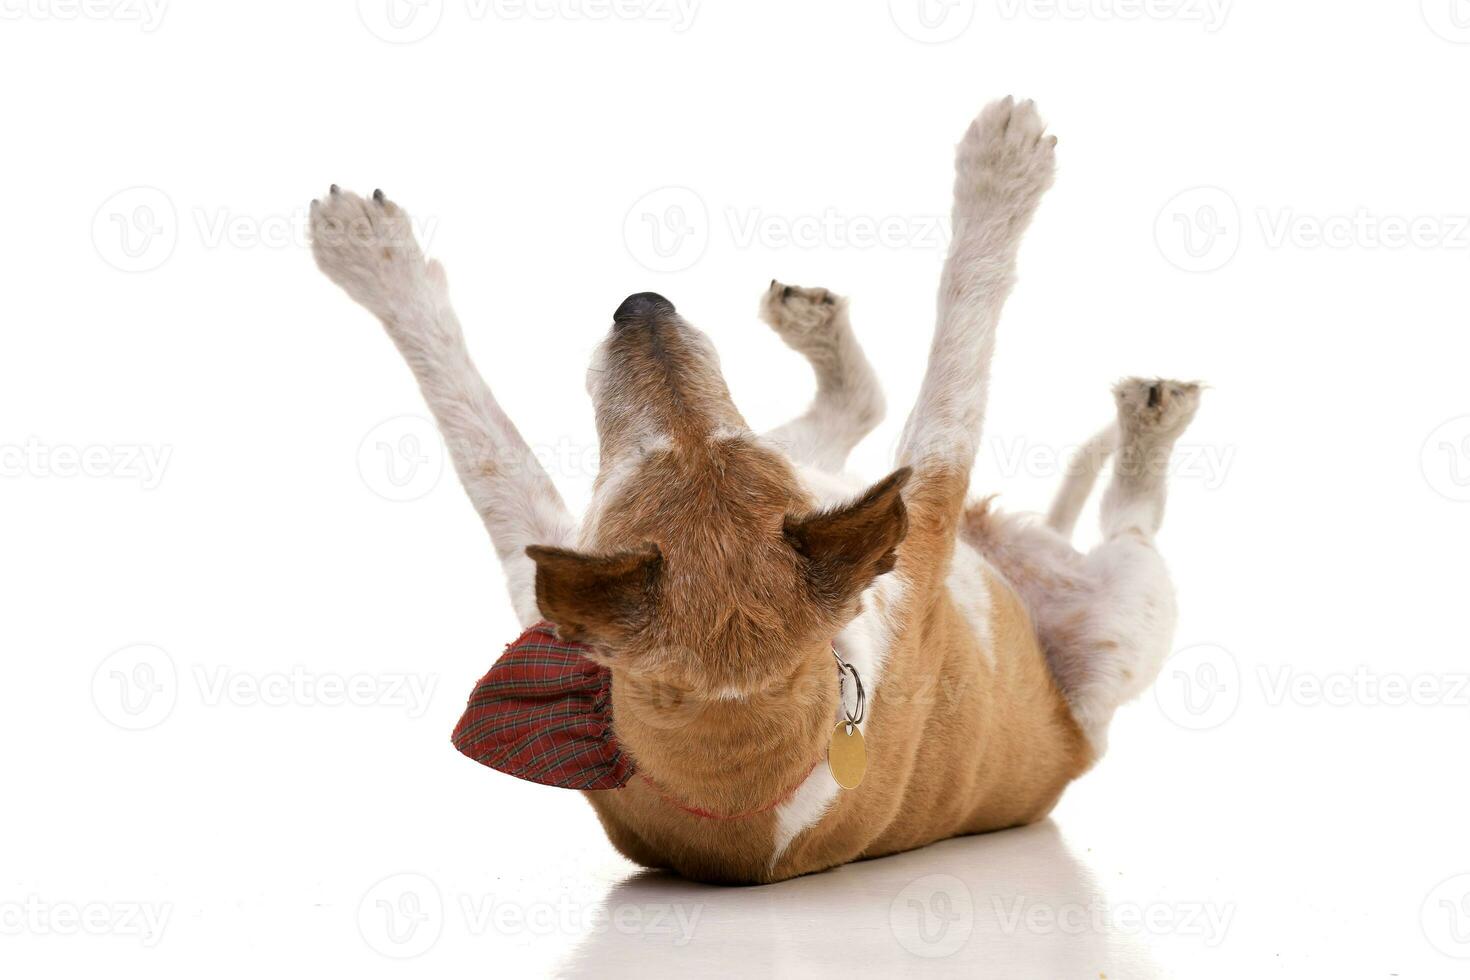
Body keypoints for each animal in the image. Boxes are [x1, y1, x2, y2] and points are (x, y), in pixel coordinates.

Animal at [307, 95, 1193, 887]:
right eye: (636, 459)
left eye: (730, 442)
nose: (642, 305)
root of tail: (1072, 735)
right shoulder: (924, 504)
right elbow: (962, 338)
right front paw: (1000, 172)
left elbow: (482, 440)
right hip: (1132, 592)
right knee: (1131, 515)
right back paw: (1149, 423)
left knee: (869, 409)